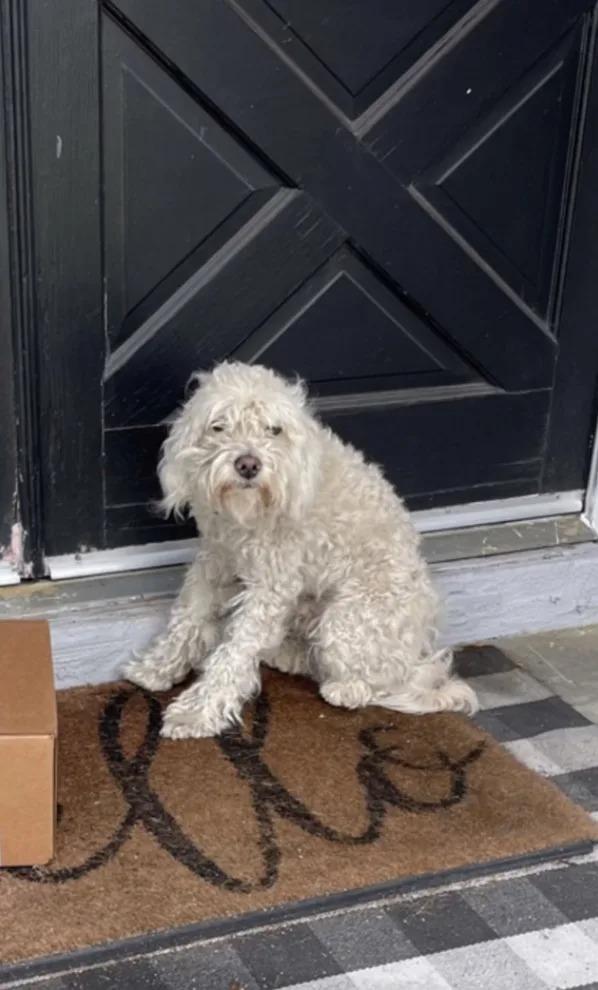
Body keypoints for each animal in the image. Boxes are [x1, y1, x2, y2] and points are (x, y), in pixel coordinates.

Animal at [124, 364, 480, 736]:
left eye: (274, 429)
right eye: (219, 425)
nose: (248, 464)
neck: (248, 517)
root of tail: (418, 652)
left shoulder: (271, 587)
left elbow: (235, 651)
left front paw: (196, 712)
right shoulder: (215, 560)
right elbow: (188, 617)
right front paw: (158, 667)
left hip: (346, 621)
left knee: (380, 682)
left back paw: (345, 688)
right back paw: (285, 654)